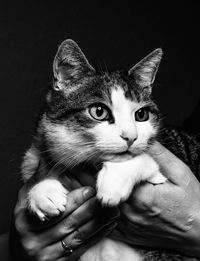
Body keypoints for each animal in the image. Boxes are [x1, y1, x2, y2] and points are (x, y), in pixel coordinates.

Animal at [20, 39, 198, 258]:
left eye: (141, 115)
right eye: (99, 111)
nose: (131, 137)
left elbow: (144, 162)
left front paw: (113, 183)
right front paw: (43, 191)